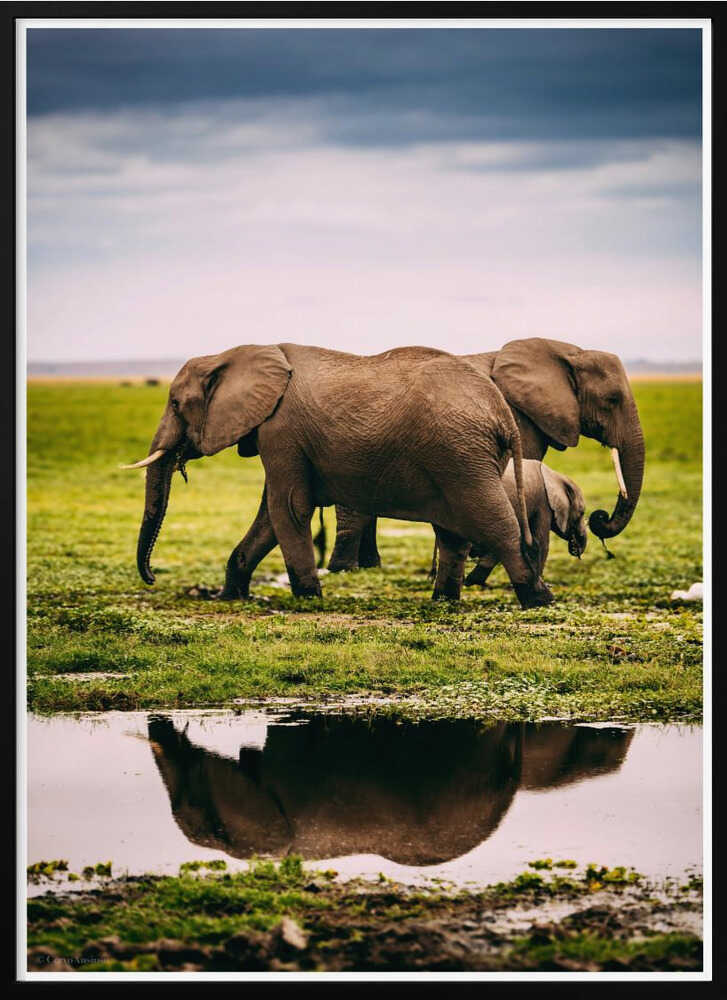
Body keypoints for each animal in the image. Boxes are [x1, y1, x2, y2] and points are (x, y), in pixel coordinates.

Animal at [122, 343, 554, 609]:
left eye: (175, 404)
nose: (151, 578)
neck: (236, 353)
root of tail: (502, 412)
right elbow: (268, 516)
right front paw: (229, 597)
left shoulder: (281, 430)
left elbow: (287, 508)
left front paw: (308, 598)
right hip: (459, 457)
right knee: (453, 532)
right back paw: (443, 601)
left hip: (461, 455)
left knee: (494, 522)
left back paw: (538, 599)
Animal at [325, 338, 644, 573]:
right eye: (612, 400)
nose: (600, 518)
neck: (567, 352)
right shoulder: (519, 417)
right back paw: (345, 569)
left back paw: (369, 566)